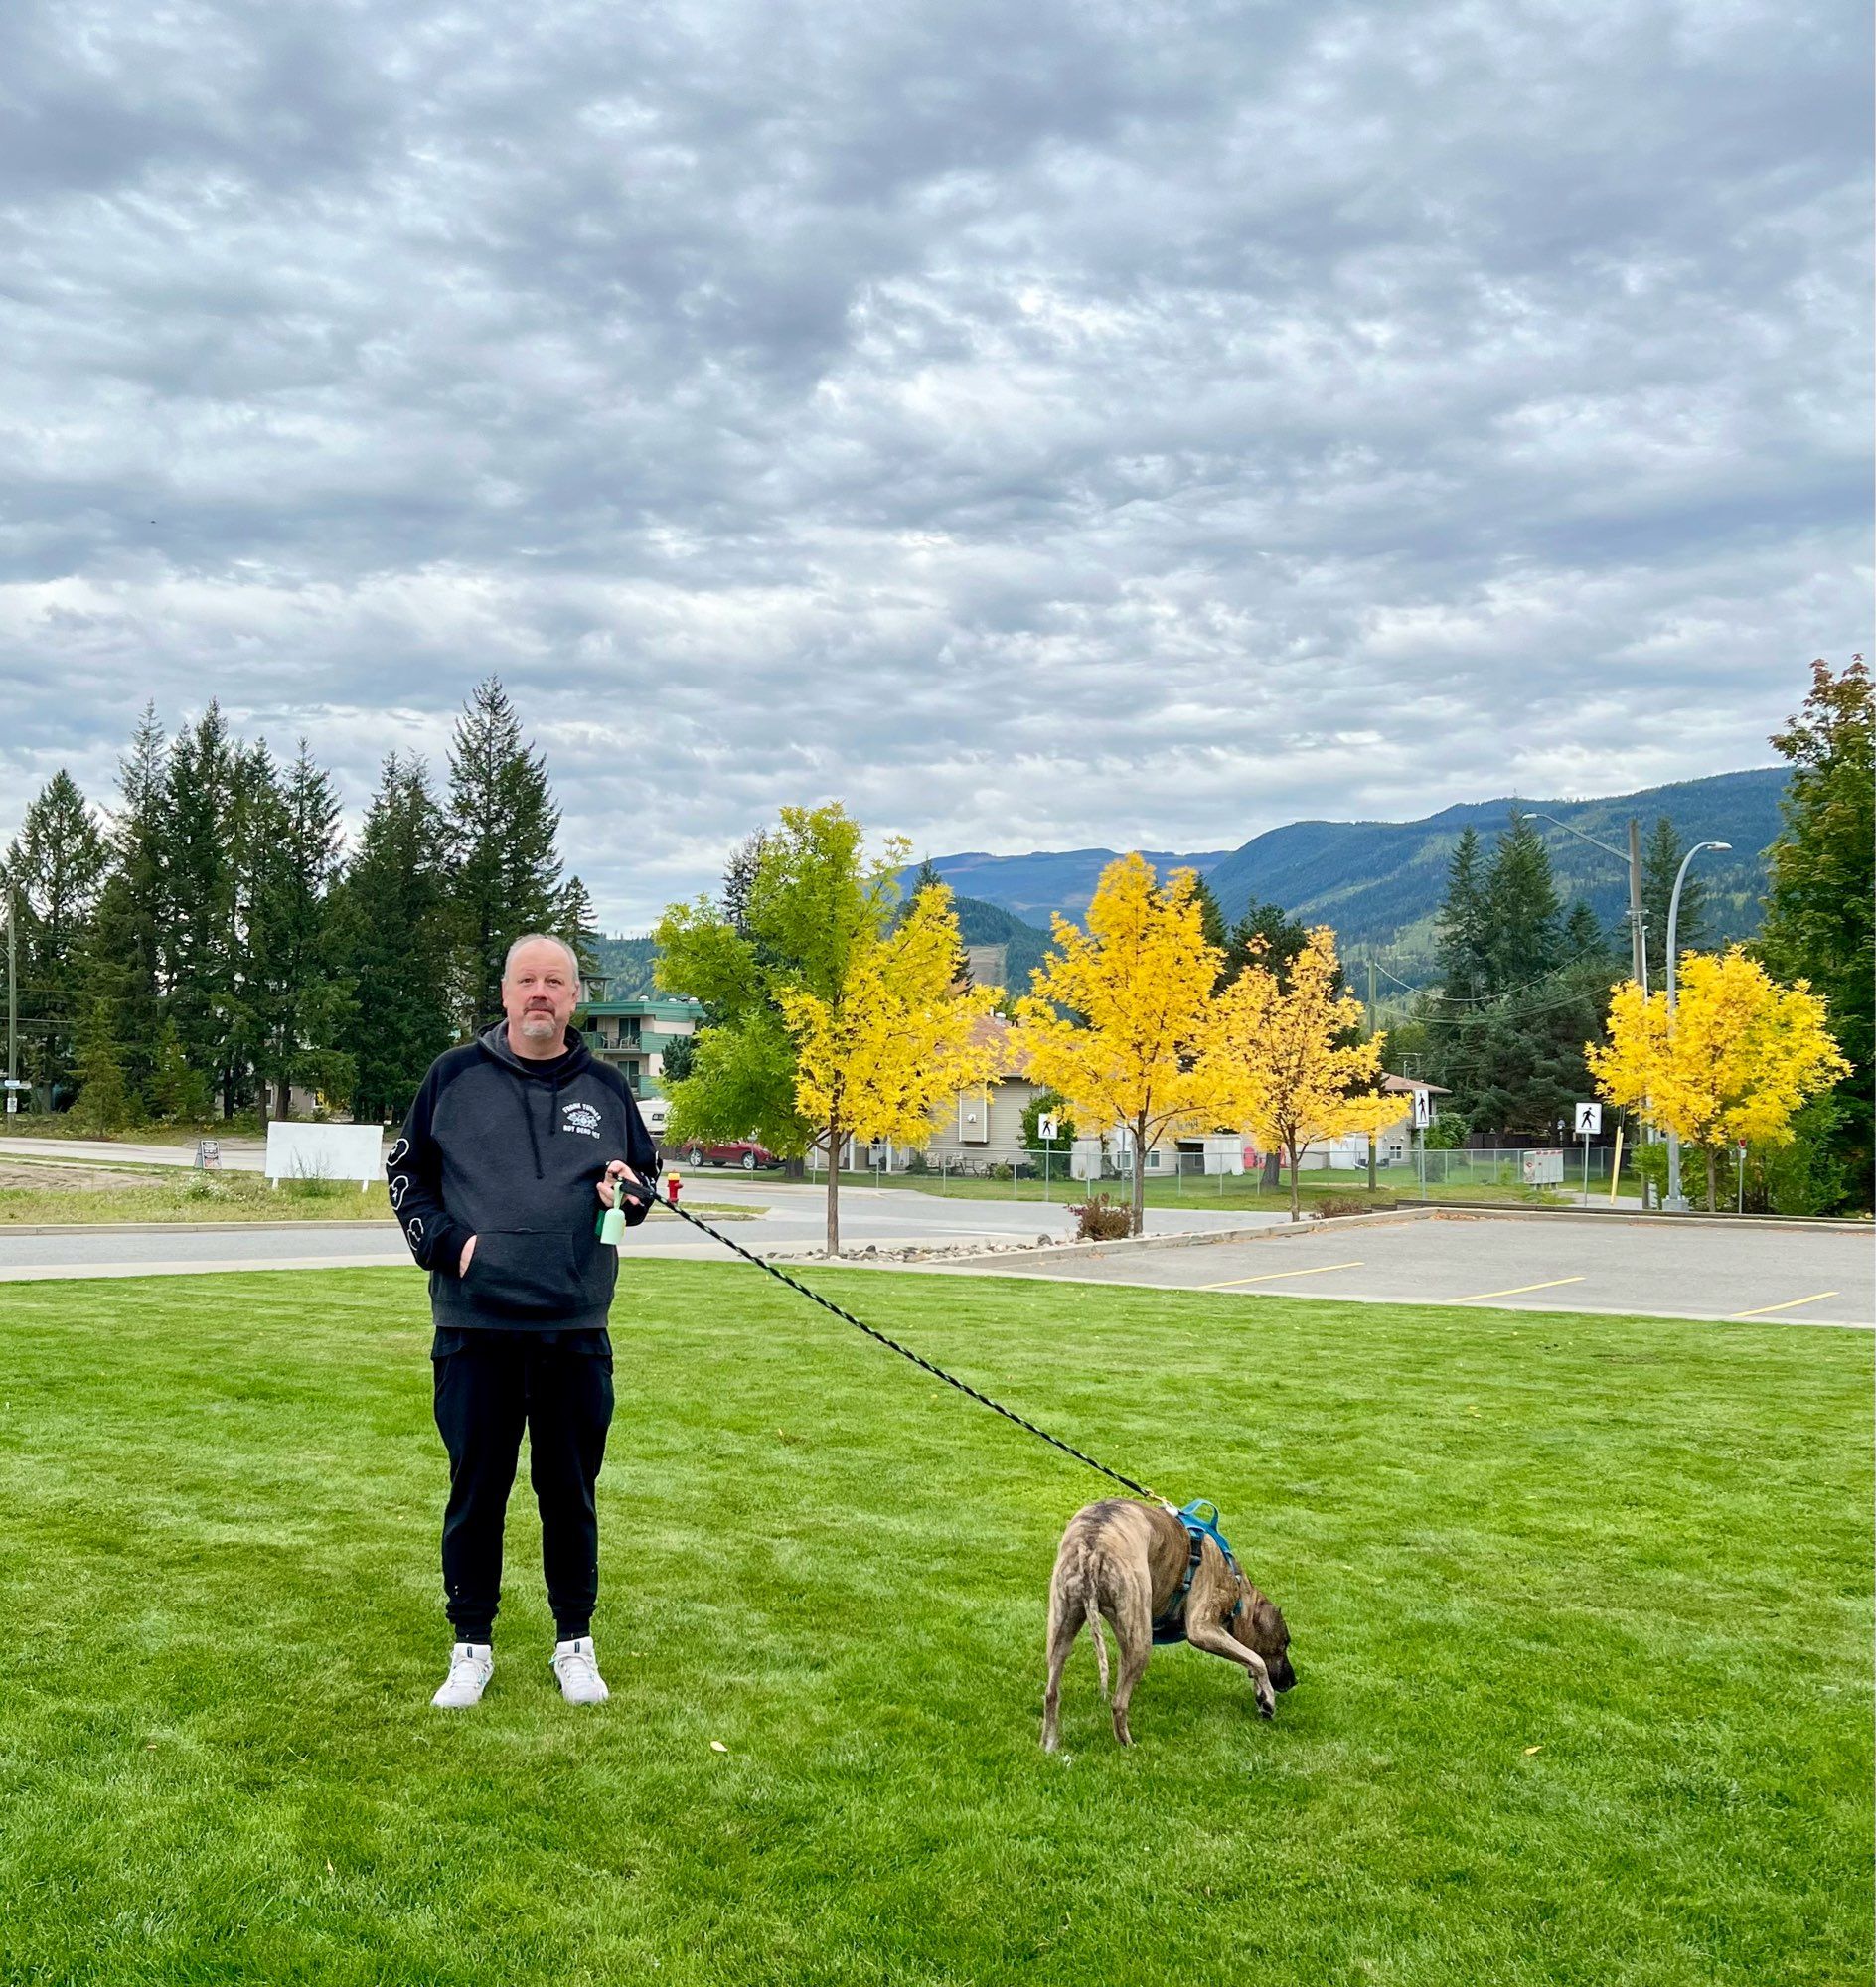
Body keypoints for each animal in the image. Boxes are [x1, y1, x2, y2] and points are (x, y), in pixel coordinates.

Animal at [1041, 1494, 1288, 1749]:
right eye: (1284, 1644)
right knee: (1118, 1703)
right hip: (1138, 1639)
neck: (1238, 1585)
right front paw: (1267, 1698)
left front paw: (1261, 1694)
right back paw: (1128, 1745)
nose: (1293, 1681)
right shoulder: (1203, 1628)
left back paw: (1050, 1745)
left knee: (1052, 1693)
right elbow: (1256, 1659)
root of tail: (1091, 1544)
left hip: (1062, 1625)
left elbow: (1251, 1660)